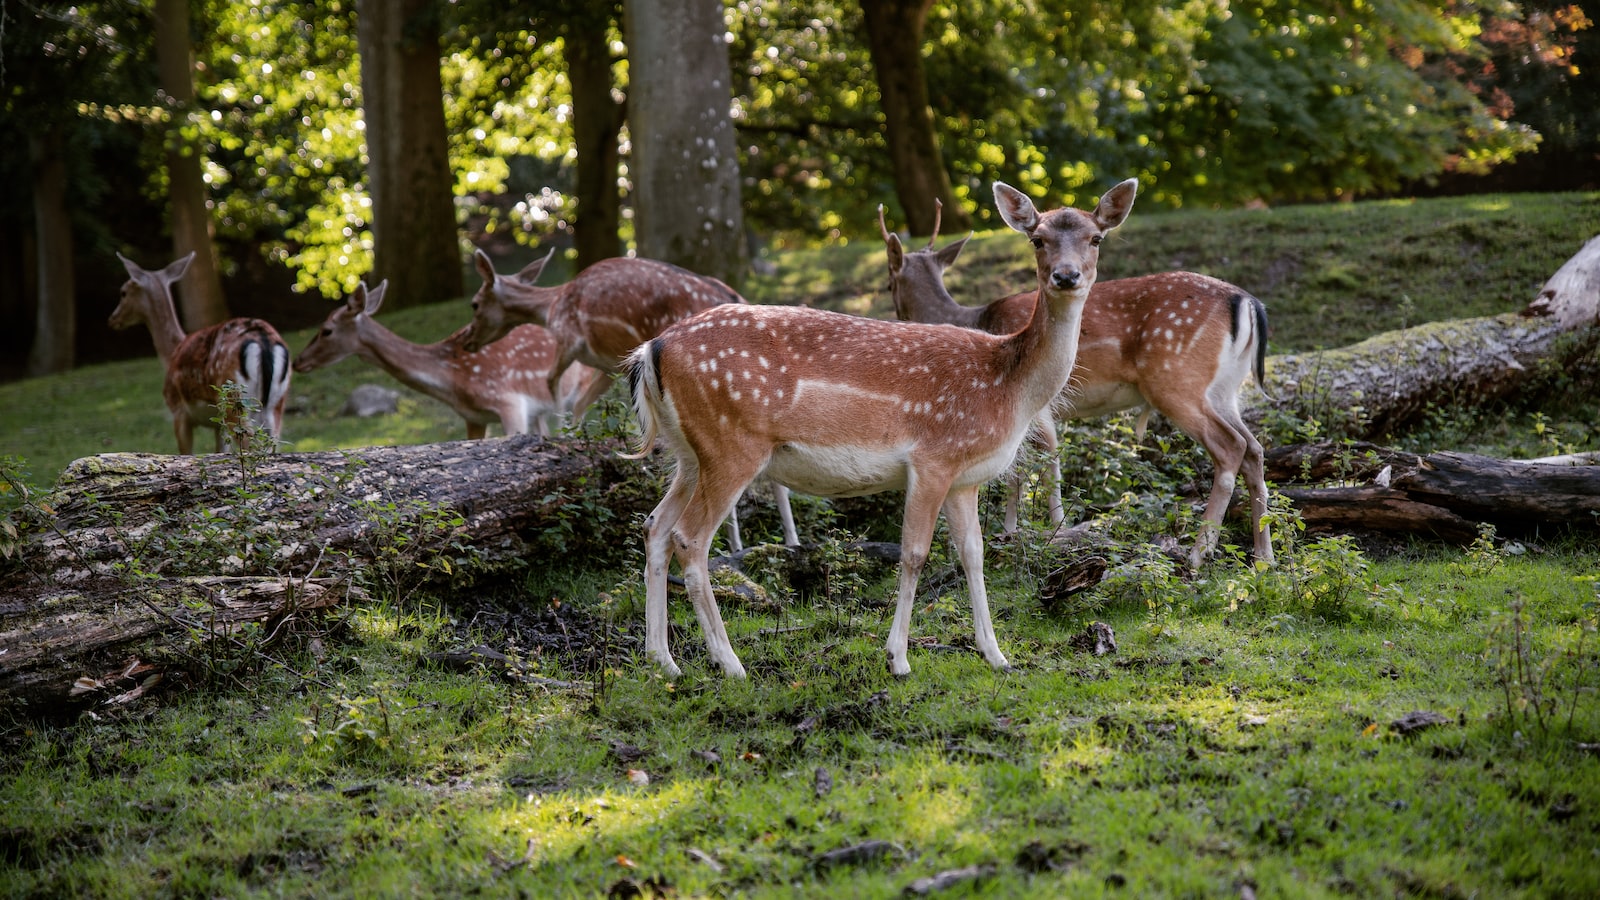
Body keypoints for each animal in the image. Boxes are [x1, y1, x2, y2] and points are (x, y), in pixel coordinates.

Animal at [108, 249, 291, 451]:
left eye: (123, 293)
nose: (113, 319)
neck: (172, 352)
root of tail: (263, 339)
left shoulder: (178, 411)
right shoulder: (217, 425)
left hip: (233, 397)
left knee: (250, 442)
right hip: (276, 403)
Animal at [620, 178, 1139, 675]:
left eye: (1095, 238)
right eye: (1037, 238)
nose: (1066, 276)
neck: (1006, 387)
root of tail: (651, 350)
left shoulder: (964, 477)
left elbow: (974, 555)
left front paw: (997, 656)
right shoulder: (932, 458)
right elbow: (915, 554)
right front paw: (898, 659)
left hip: (690, 454)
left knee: (654, 527)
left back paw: (663, 660)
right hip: (731, 445)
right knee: (689, 538)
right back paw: (730, 664)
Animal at [883, 200, 1267, 563]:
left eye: (888, 283)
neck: (977, 320)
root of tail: (1248, 302)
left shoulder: (1034, 405)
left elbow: (1041, 460)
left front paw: (1041, 529)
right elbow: (1024, 465)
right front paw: (1019, 528)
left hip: (1177, 378)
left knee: (1231, 446)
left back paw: (1199, 553)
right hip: (1224, 390)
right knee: (1254, 448)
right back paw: (1264, 556)